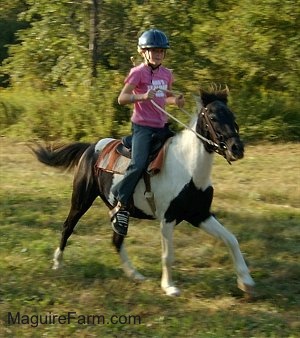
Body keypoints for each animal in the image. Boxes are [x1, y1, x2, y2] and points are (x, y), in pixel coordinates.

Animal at [31, 88, 254, 298]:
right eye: (213, 117)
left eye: (232, 115)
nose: (237, 148)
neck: (188, 169)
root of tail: (91, 147)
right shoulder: (168, 218)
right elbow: (168, 255)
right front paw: (169, 287)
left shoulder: (200, 215)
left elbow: (231, 239)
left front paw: (246, 282)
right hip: (81, 199)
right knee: (67, 227)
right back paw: (57, 263)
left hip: (119, 210)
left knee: (116, 239)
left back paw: (135, 274)